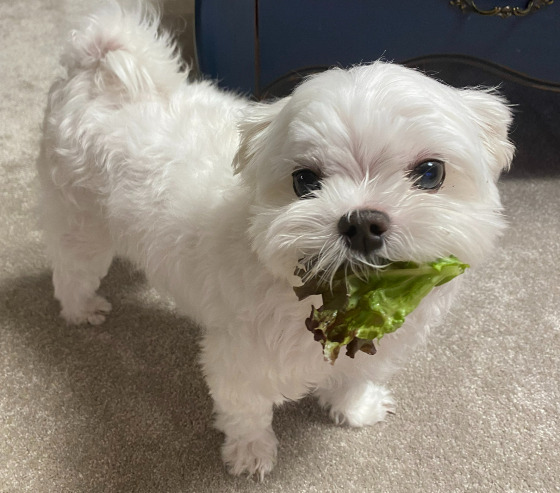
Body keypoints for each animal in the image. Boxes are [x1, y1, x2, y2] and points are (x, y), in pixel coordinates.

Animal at [37, 3, 516, 478]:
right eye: (304, 180)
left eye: (431, 173)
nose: (362, 222)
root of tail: (95, 71)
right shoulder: (240, 361)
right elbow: (246, 412)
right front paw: (251, 455)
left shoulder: (368, 348)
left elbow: (354, 378)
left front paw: (354, 408)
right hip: (83, 227)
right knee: (70, 273)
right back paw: (82, 310)